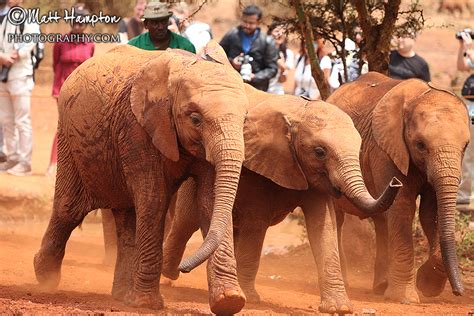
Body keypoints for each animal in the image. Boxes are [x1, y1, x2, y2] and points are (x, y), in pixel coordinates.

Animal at [32, 41, 248, 308]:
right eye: (195, 119)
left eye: (245, 120)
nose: (182, 269)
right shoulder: (136, 127)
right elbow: (154, 199)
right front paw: (148, 303)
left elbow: (209, 201)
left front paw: (230, 301)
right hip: (69, 137)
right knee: (69, 208)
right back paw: (45, 277)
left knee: (127, 215)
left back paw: (123, 296)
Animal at [161, 85, 402, 314]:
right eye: (320, 152)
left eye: (359, 150)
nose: (396, 182)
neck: (298, 114)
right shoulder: (257, 166)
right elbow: (255, 225)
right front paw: (252, 300)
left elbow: (323, 226)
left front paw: (338, 308)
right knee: (186, 222)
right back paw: (168, 276)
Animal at [330, 71, 470, 304]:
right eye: (420, 145)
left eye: (466, 146)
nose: (459, 292)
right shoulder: (385, 149)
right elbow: (403, 206)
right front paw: (407, 298)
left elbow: (431, 212)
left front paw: (427, 285)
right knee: (338, 217)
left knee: (381, 220)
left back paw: (381, 287)